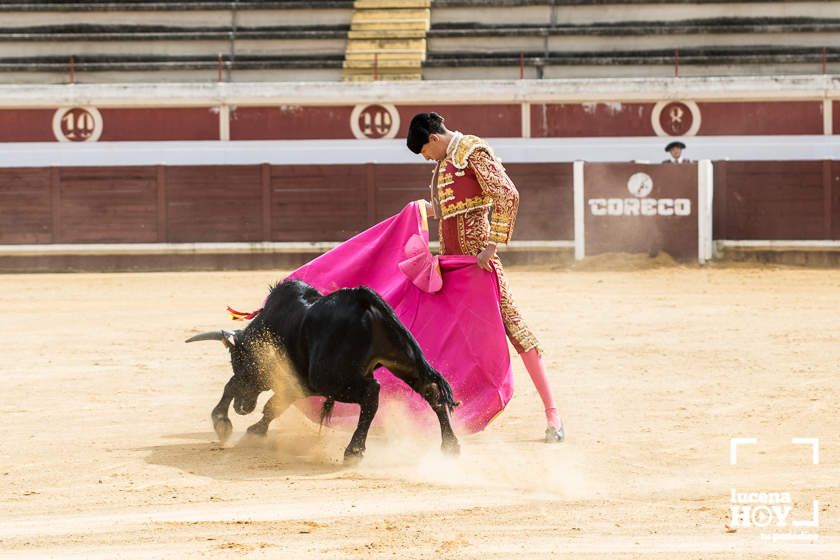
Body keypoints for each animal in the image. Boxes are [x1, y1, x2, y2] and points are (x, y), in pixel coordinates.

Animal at [185, 278, 460, 462]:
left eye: (237, 361)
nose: (242, 408)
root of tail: (362, 299)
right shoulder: (299, 385)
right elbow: (273, 405)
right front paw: (255, 430)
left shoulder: (295, 380)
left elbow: (235, 386)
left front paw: (223, 422)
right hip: (403, 360)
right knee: (432, 391)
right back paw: (450, 446)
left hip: (330, 378)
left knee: (372, 392)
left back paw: (354, 450)